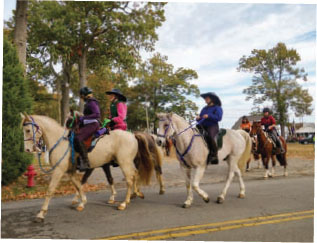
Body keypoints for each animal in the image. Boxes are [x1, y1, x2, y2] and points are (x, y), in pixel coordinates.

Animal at [20, 112, 154, 222]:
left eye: (28, 130)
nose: (27, 150)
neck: (60, 142)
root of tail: (133, 135)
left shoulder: (59, 171)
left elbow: (50, 190)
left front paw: (41, 214)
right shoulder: (70, 171)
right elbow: (79, 185)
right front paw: (82, 202)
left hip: (124, 162)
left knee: (130, 179)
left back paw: (124, 203)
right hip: (126, 163)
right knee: (135, 174)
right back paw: (136, 194)